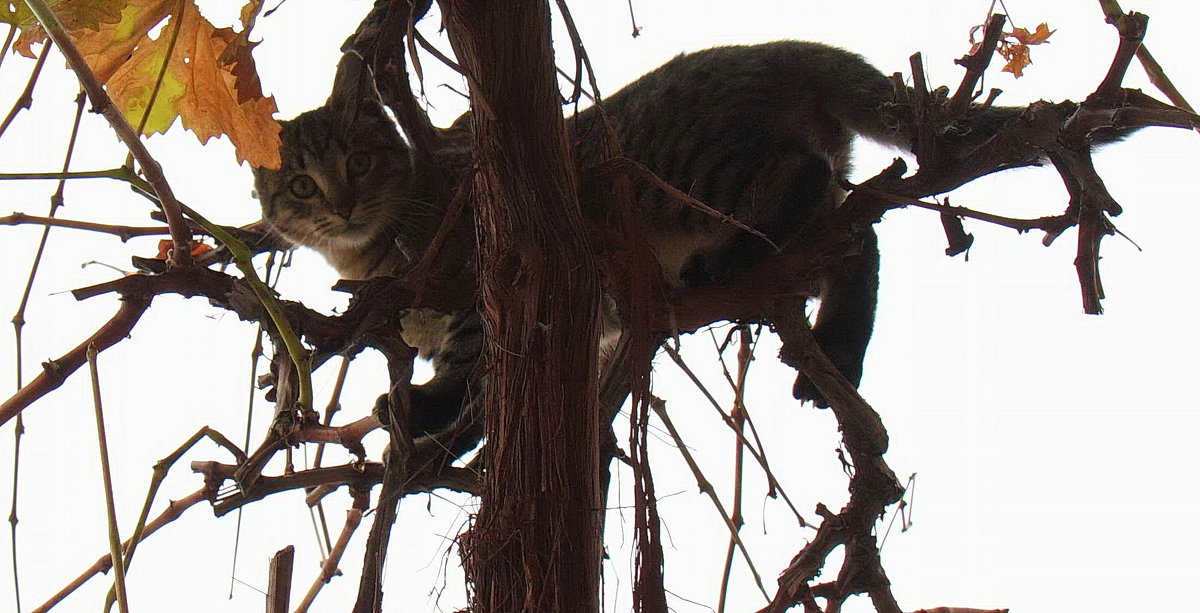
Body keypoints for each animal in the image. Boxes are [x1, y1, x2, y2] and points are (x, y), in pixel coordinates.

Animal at [250, 41, 1012, 441]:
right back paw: (838, 351)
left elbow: (470, 366)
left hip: (692, 169)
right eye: (301, 187)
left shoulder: (489, 288)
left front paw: (428, 410)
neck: (372, 253)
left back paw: (729, 260)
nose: (343, 204)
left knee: (806, 177)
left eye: (359, 161)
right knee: (857, 244)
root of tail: (771, 50)